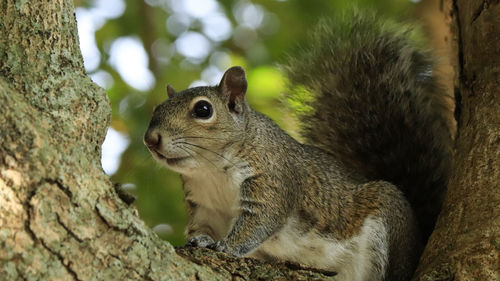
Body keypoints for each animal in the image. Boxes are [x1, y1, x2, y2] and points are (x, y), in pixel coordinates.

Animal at [143, 12, 452, 280]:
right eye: (156, 109)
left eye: (203, 110)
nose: (151, 139)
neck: (211, 170)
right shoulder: (205, 206)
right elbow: (205, 226)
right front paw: (201, 239)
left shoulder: (273, 178)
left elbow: (259, 222)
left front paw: (226, 247)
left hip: (389, 216)